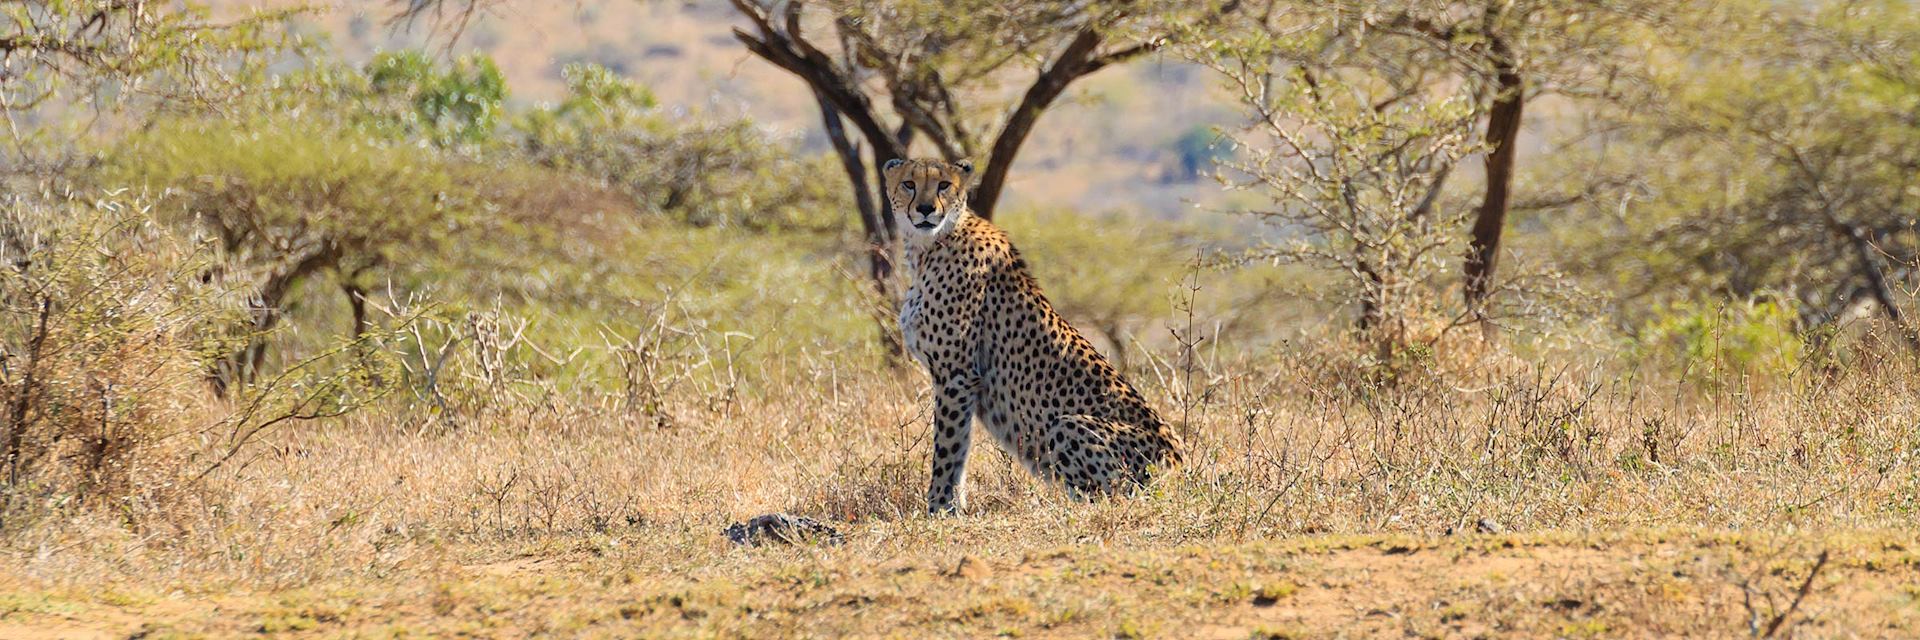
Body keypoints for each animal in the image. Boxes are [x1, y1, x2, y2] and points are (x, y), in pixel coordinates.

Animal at [887, 156, 1182, 511]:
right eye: (909, 183)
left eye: (944, 184)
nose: (926, 209)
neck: (930, 245)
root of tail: (1181, 467)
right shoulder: (962, 380)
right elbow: (959, 449)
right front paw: (952, 506)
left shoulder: (956, 375)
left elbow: (947, 448)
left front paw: (939, 507)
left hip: (1068, 425)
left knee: (1104, 494)